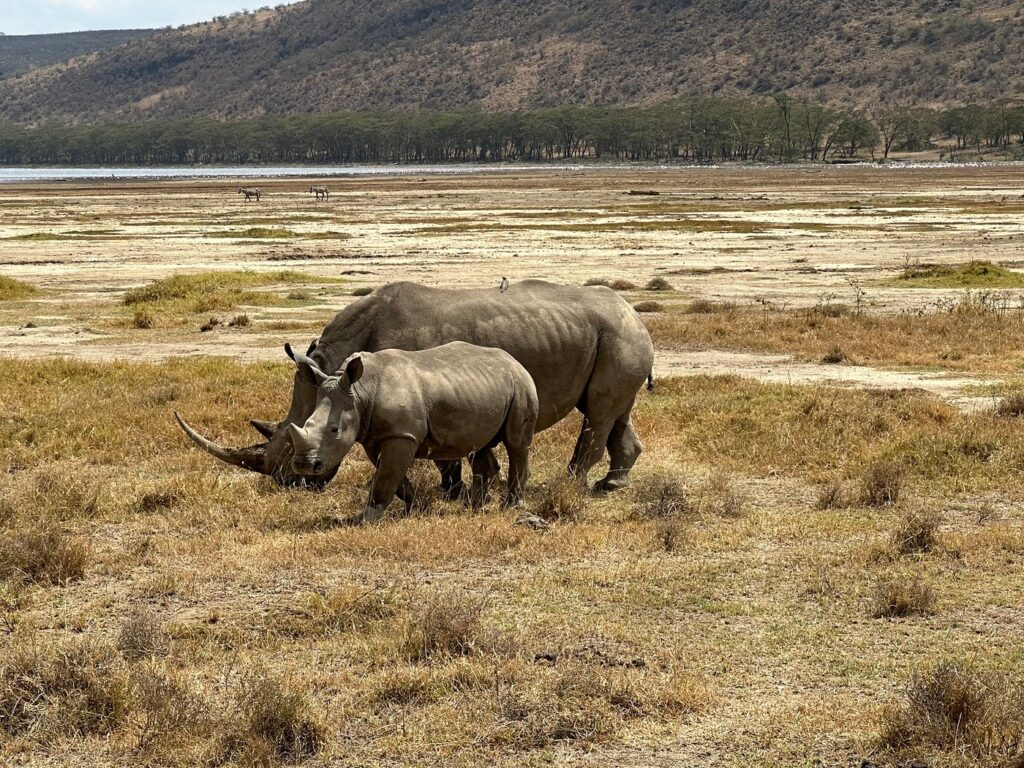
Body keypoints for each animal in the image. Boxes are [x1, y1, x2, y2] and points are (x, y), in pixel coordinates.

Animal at [176, 280, 654, 493]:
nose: (294, 482)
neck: (336, 356)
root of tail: (636, 314)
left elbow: (446, 454)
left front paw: (451, 491)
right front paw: (454, 491)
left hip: (619, 335)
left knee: (599, 413)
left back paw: (568, 486)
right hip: (615, 337)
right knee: (613, 410)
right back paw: (610, 486)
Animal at [281, 341, 538, 522]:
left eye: (334, 430)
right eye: (307, 423)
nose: (304, 465)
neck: (360, 391)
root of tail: (515, 361)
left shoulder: (401, 434)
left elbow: (386, 477)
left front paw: (366, 520)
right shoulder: (375, 436)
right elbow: (393, 479)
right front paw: (416, 508)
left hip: (521, 384)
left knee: (516, 444)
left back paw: (511, 507)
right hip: (481, 390)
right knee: (478, 446)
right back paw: (476, 507)